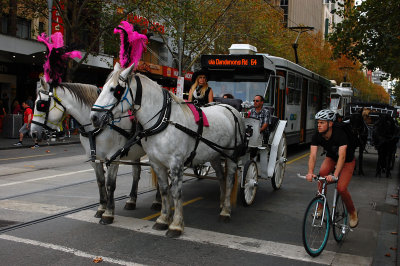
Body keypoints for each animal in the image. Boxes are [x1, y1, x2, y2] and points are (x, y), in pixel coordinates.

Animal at [30, 77, 159, 224]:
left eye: (41, 104)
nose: (33, 133)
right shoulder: (95, 159)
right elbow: (100, 182)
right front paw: (101, 208)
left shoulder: (113, 158)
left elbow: (110, 184)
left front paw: (108, 213)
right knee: (136, 174)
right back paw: (132, 200)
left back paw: (157, 201)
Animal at [91, 62, 247, 237]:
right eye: (103, 87)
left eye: (115, 90)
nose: (94, 118)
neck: (164, 120)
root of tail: (230, 108)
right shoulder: (156, 163)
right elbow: (165, 190)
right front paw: (163, 219)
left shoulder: (176, 163)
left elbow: (176, 193)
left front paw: (176, 225)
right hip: (214, 155)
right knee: (221, 177)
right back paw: (221, 203)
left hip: (231, 155)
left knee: (230, 180)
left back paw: (226, 211)